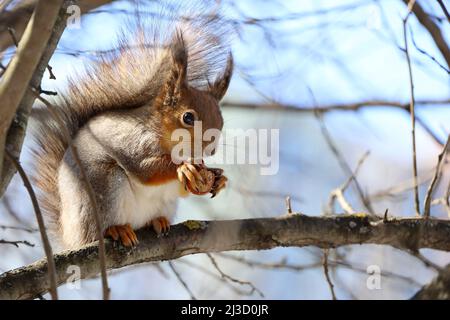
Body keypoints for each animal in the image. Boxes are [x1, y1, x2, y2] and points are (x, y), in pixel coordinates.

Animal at [31, 5, 232, 250]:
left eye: (221, 121)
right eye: (188, 117)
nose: (211, 149)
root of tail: (72, 238)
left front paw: (218, 179)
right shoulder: (133, 142)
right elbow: (145, 170)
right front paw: (183, 168)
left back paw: (157, 221)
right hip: (103, 190)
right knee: (100, 228)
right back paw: (116, 230)